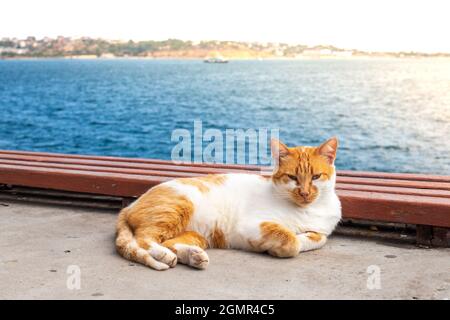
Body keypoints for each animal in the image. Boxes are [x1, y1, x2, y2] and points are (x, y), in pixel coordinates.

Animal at [116, 137, 342, 270]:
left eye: (316, 177)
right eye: (293, 177)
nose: (304, 193)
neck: (306, 209)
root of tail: (130, 206)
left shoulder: (321, 231)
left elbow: (317, 239)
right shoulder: (252, 225)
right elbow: (290, 240)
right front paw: (278, 247)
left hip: (198, 235)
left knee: (168, 243)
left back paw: (193, 256)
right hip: (176, 207)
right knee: (143, 239)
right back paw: (164, 255)